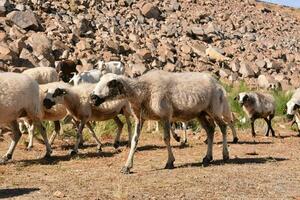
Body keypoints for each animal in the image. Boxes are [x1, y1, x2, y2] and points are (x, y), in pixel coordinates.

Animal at [90, 70, 236, 173]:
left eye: (110, 84)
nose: (92, 97)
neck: (143, 90)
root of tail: (218, 84)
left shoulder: (165, 116)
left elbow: (166, 138)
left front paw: (170, 162)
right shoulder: (140, 118)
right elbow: (134, 141)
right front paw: (127, 166)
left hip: (214, 108)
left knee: (223, 127)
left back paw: (225, 154)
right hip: (201, 113)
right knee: (210, 130)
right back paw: (207, 158)